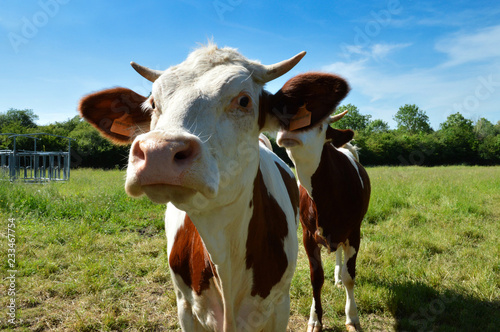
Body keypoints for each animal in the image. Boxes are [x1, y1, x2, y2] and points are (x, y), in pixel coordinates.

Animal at [79, 44, 352, 332]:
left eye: (244, 100)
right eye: (153, 104)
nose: (159, 151)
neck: (224, 255)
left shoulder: (280, 307)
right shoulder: (186, 308)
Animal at [278, 75, 372, 332]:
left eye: (319, 124)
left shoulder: (354, 231)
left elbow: (351, 277)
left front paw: (352, 317)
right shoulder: (308, 236)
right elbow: (315, 279)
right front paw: (314, 319)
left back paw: (338, 276)